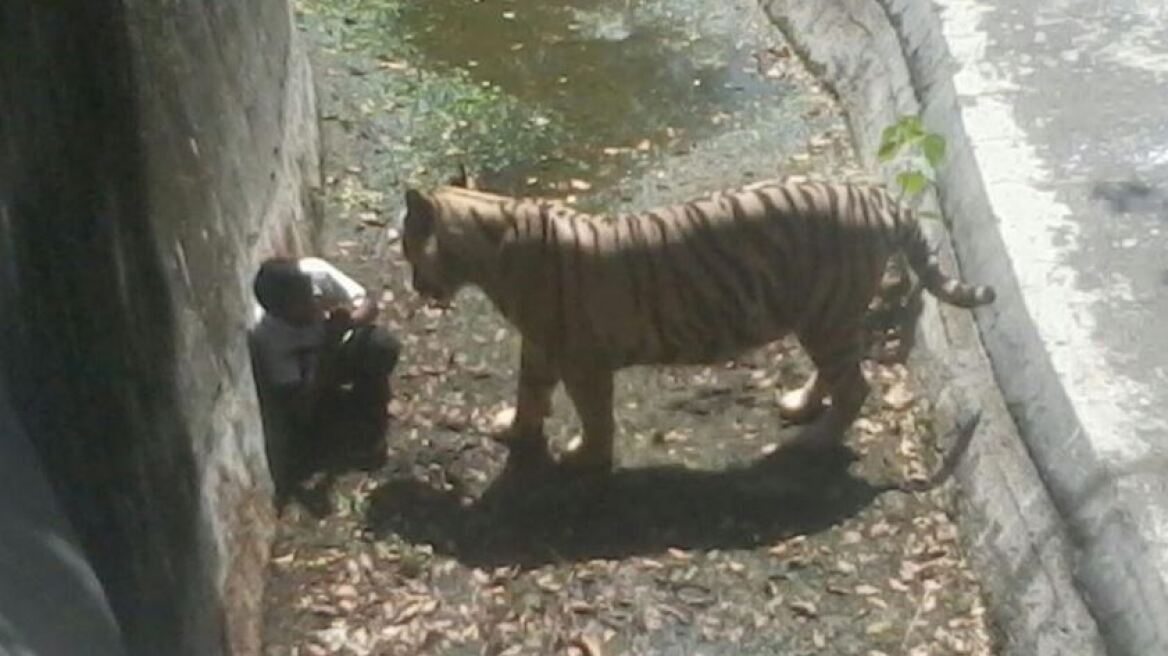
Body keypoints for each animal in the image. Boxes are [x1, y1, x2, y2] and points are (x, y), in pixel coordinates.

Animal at [404, 173, 995, 469]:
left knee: (856, 386)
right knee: (836, 375)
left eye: (408, 247)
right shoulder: (542, 346)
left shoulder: (581, 361)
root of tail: (878, 198)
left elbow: (595, 415)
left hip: (826, 316)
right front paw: (515, 429)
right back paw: (800, 406)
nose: (413, 285)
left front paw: (584, 456)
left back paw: (814, 440)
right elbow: (529, 391)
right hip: (821, 318)